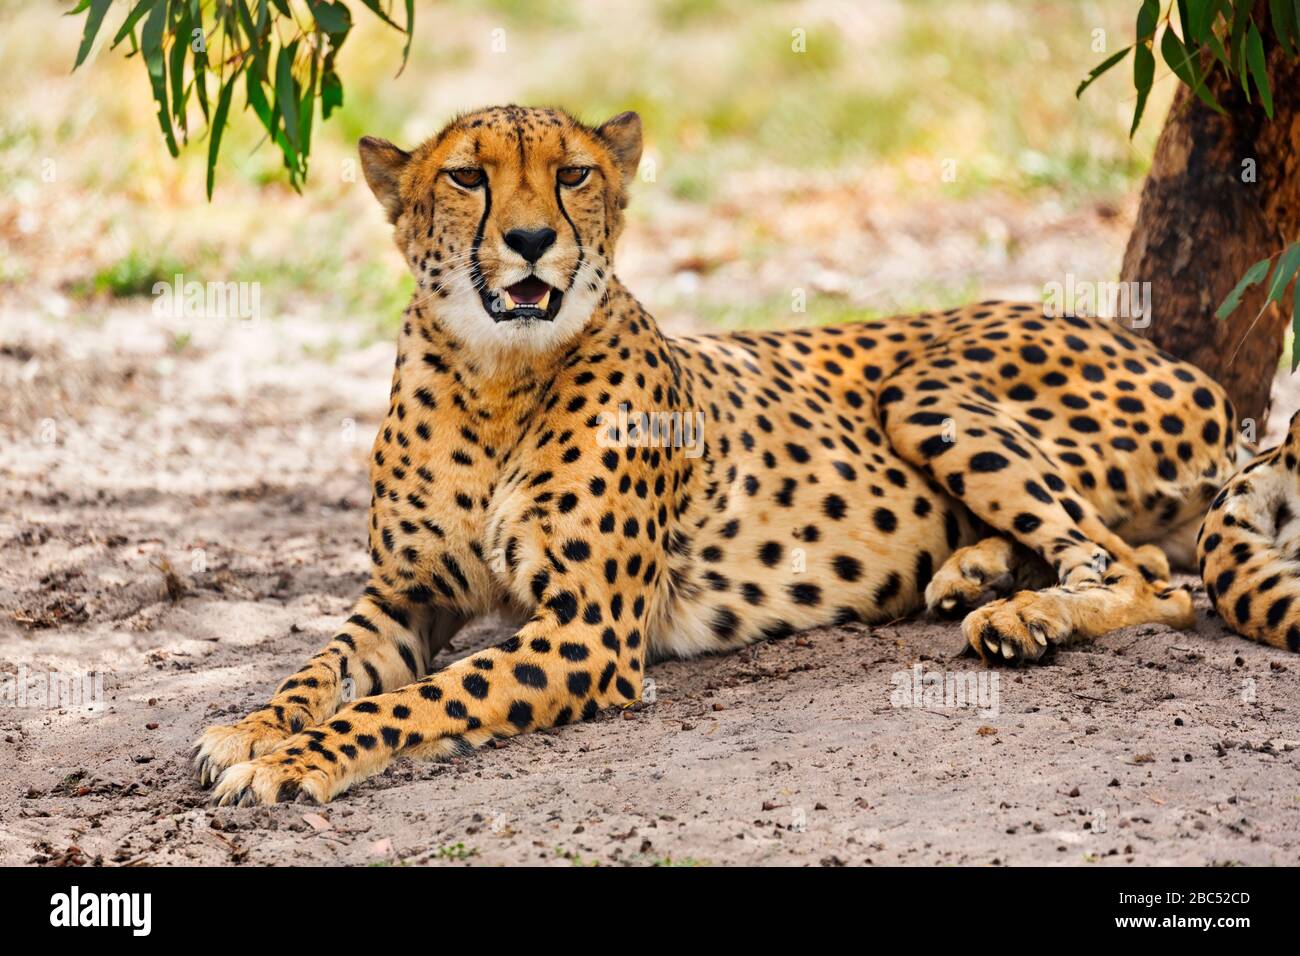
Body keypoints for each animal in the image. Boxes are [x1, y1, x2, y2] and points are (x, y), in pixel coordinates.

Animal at [189, 104, 1237, 806]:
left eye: (573, 174)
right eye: (467, 177)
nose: (529, 241)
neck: (497, 377)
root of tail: (1173, 357)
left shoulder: (590, 630)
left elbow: (426, 699)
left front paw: (297, 758)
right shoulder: (408, 595)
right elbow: (318, 668)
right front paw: (250, 726)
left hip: (925, 392)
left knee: (1147, 574)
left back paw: (1026, 617)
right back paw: (976, 575)